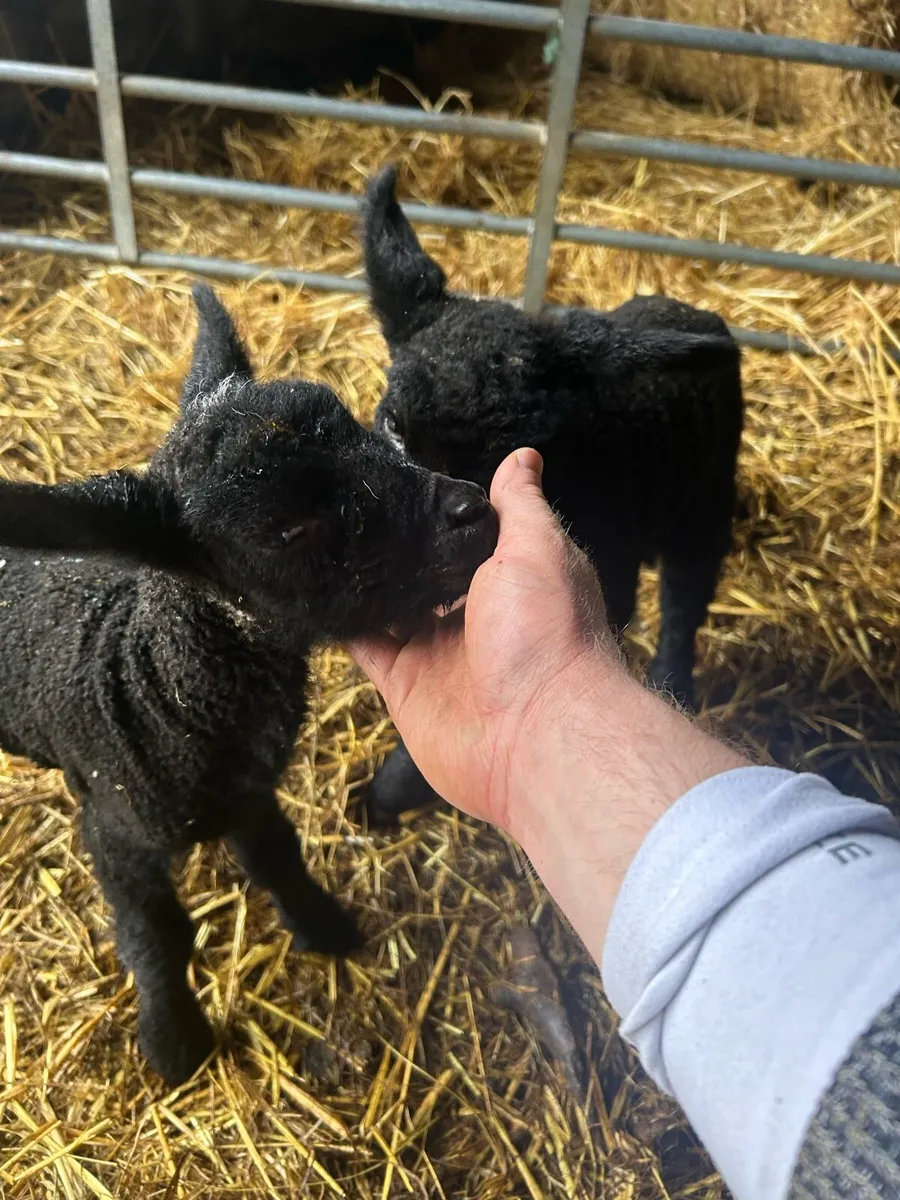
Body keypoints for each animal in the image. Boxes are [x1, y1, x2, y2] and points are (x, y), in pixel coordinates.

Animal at [0, 284, 499, 1085]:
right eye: (287, 530)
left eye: (367, 427)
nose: (473, 510)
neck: (152, 677)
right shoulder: (117, 827)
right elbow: (156, 936)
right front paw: (173, 1042)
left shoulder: (251, 791)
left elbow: (277, 857)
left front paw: (323, 924)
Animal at [360, 165, 744, 824]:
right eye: (392, 424)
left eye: (521, 447)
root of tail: (692, 311)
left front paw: (389, 792)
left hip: (705, 502)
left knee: (685, 597)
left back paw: (675, 685)